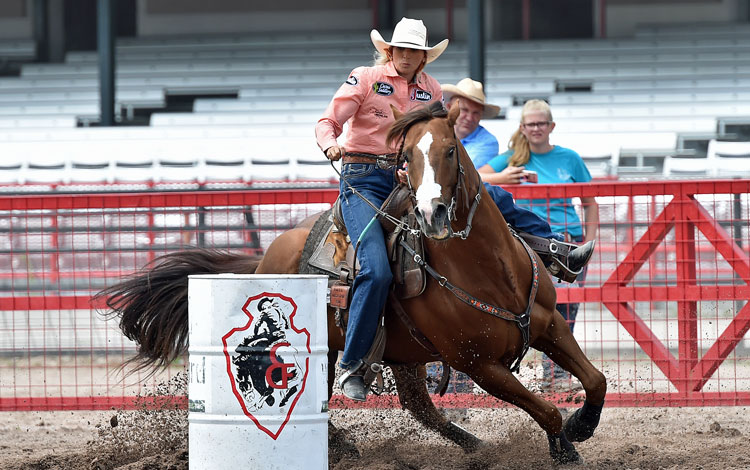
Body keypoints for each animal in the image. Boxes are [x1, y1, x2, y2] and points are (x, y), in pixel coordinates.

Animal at [98, 101, 604, 464]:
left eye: (449, 151)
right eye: (406, 158)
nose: (433, 215)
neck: (489, 271)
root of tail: (267, 257)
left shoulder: (550, 326)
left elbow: (595, 380)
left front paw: (582, 426)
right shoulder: (478, 363)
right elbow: (545, 408)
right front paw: (565, 444)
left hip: (406, 354)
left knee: (421, 408)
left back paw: (478, 448)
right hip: (324, 354)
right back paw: (343, 446)